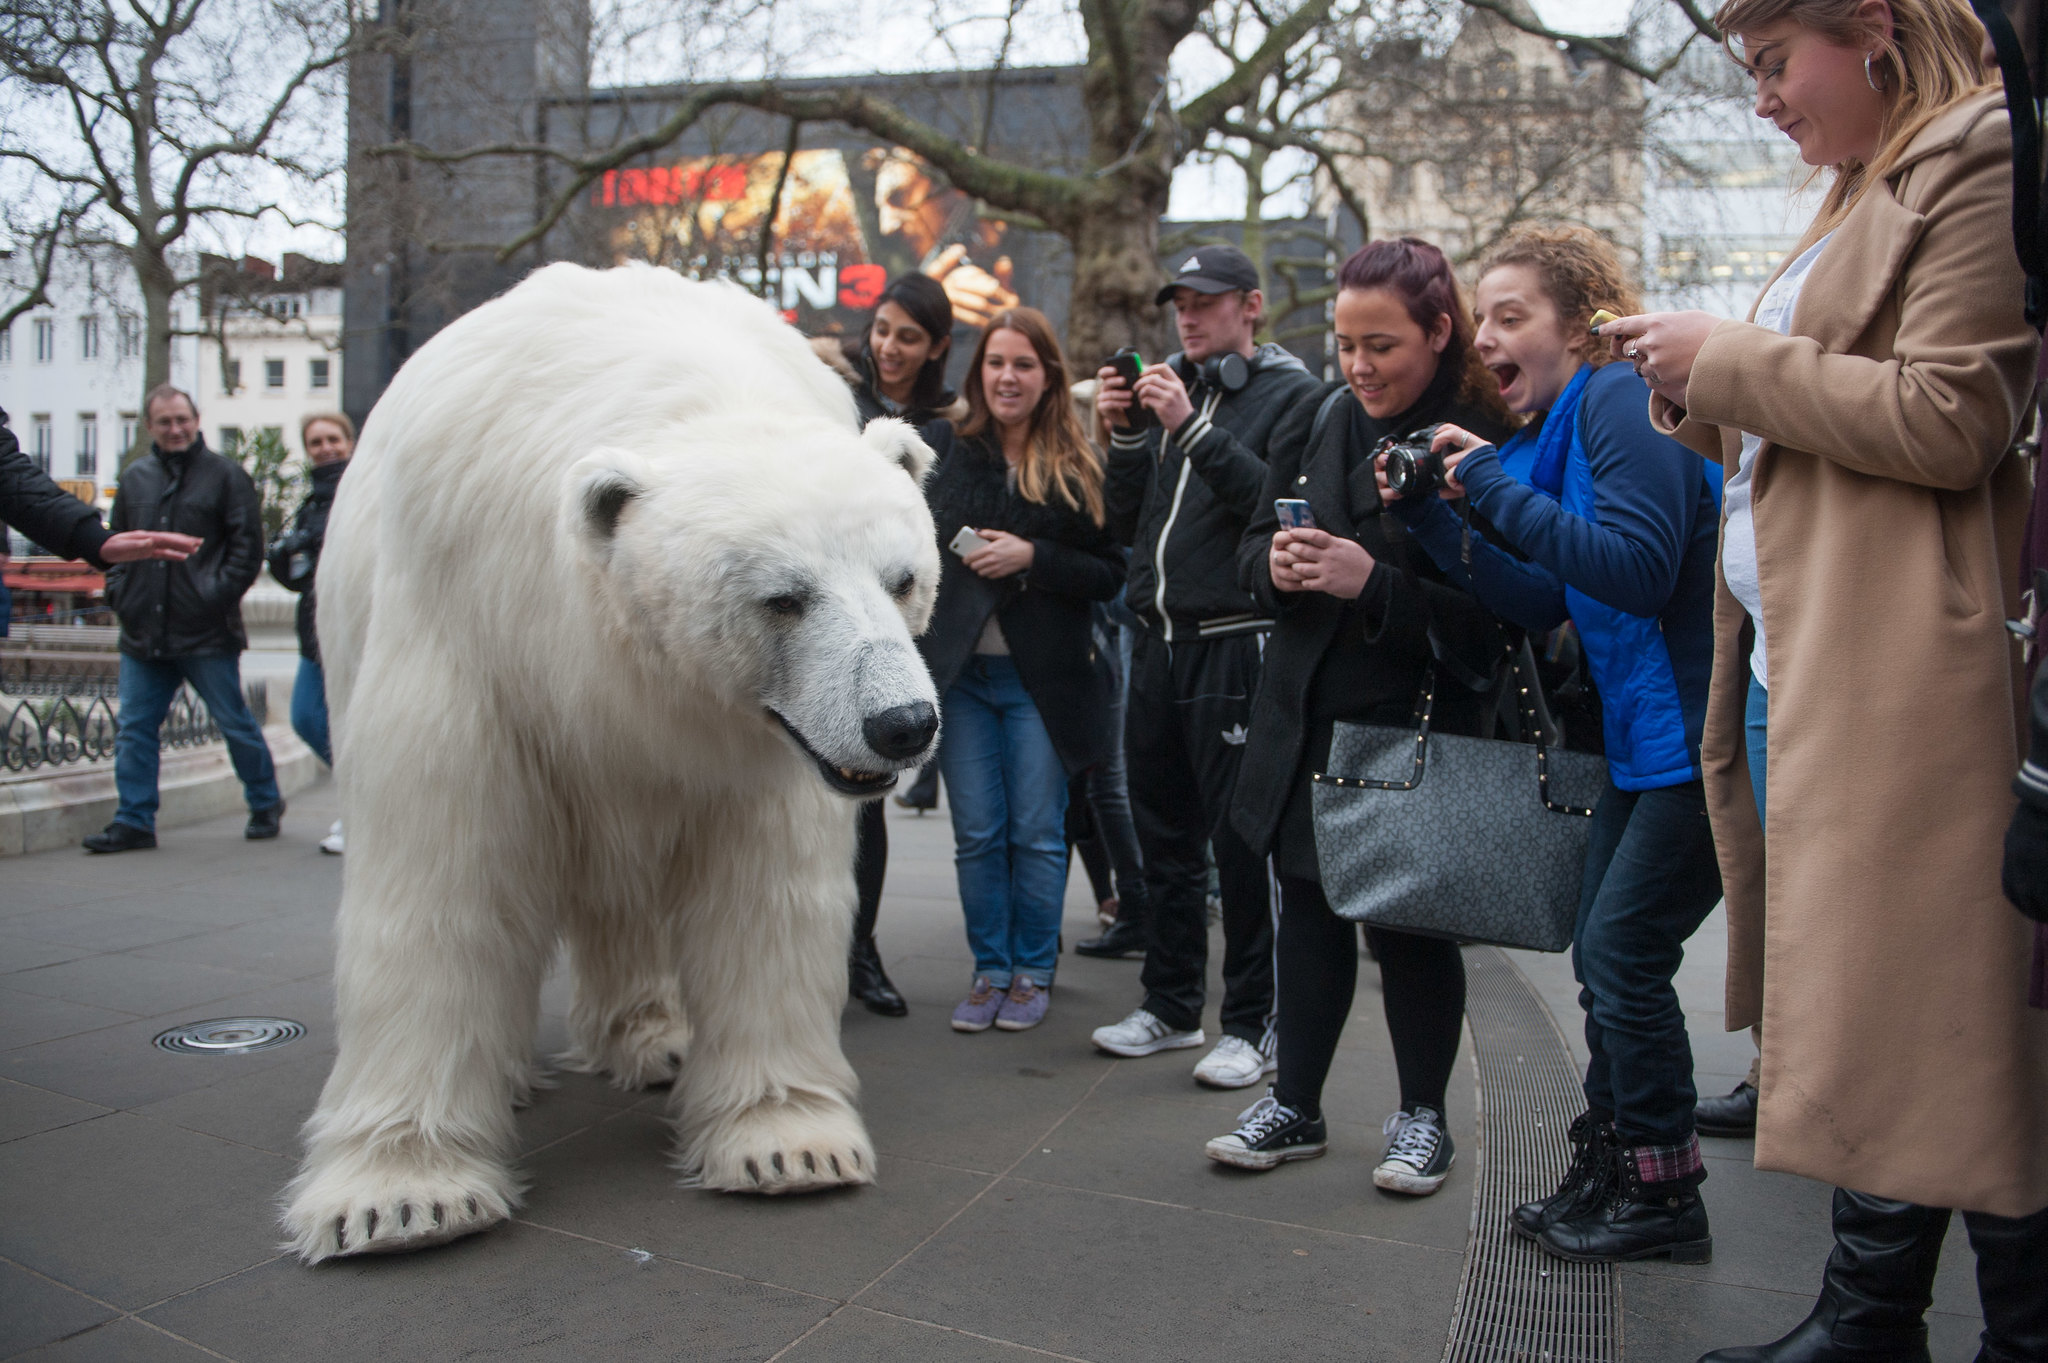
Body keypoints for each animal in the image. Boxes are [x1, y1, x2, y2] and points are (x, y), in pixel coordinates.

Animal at [281, 262, 942, 1263]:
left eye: (902, 578)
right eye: (783, 597)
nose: (903, 724)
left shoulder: (757, 738)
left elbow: (764, 891)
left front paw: (789, 1143)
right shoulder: (468, 633)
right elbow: (444, 877)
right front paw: (400, 1197)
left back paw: (657, 1038)